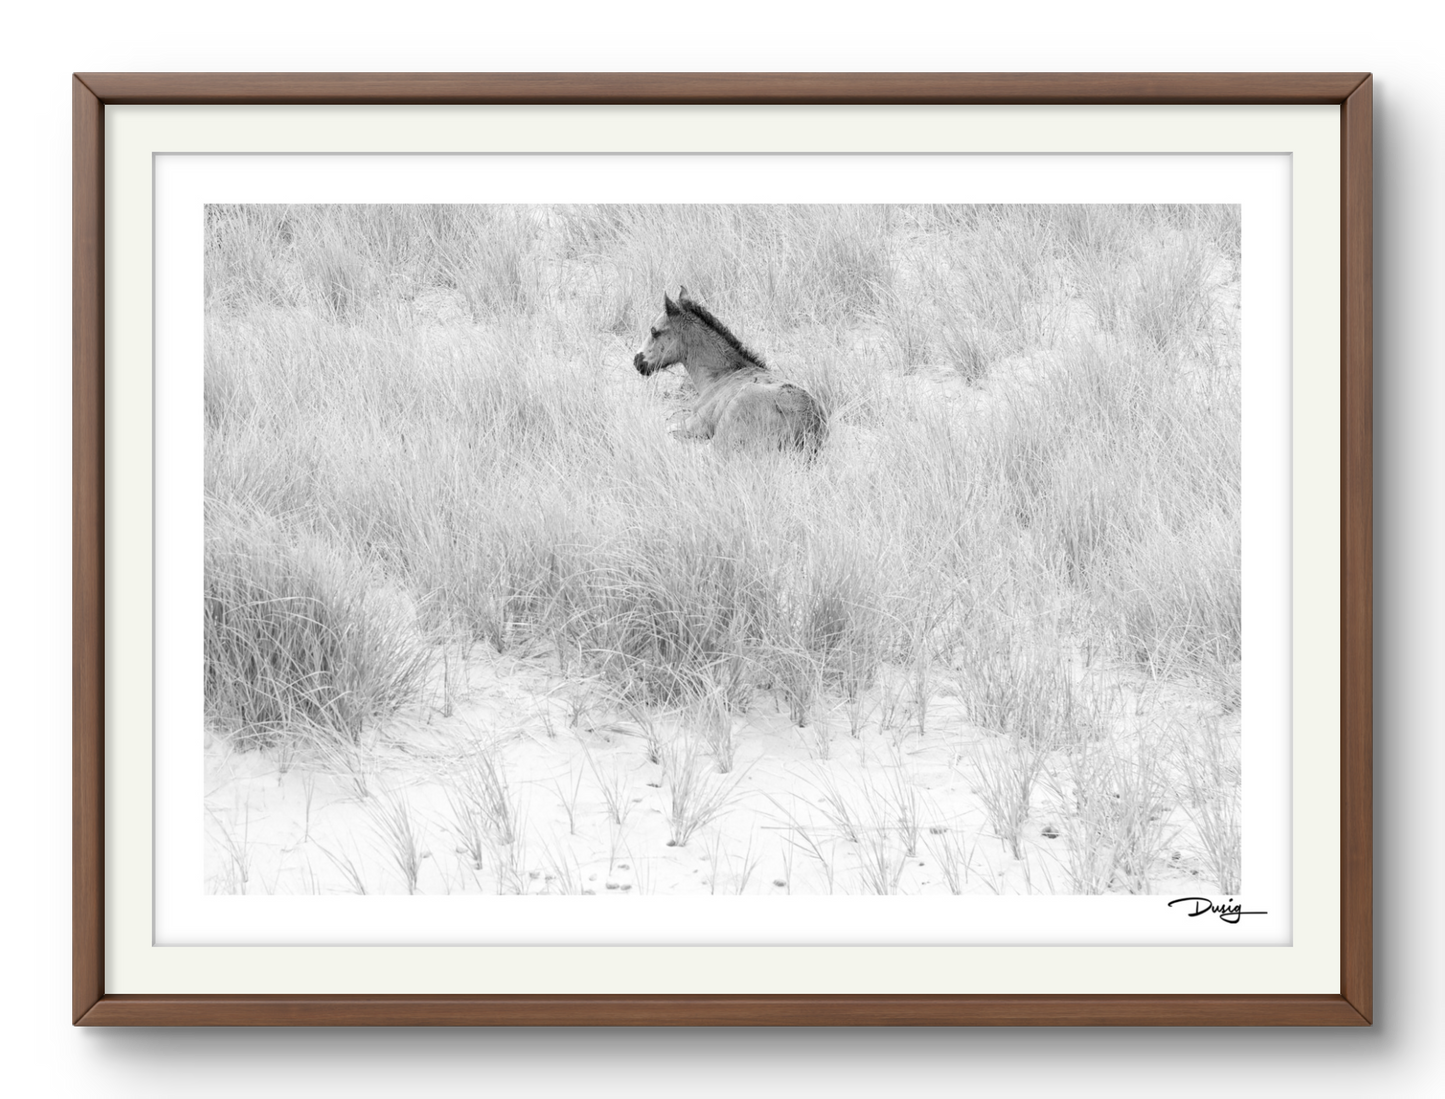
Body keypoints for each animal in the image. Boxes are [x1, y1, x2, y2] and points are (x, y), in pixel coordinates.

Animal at [632, 287, 826, 453]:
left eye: (654, 331)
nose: (637, 361)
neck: (721, 376)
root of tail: (809, 426)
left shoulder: (697, 424)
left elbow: (668, 428)